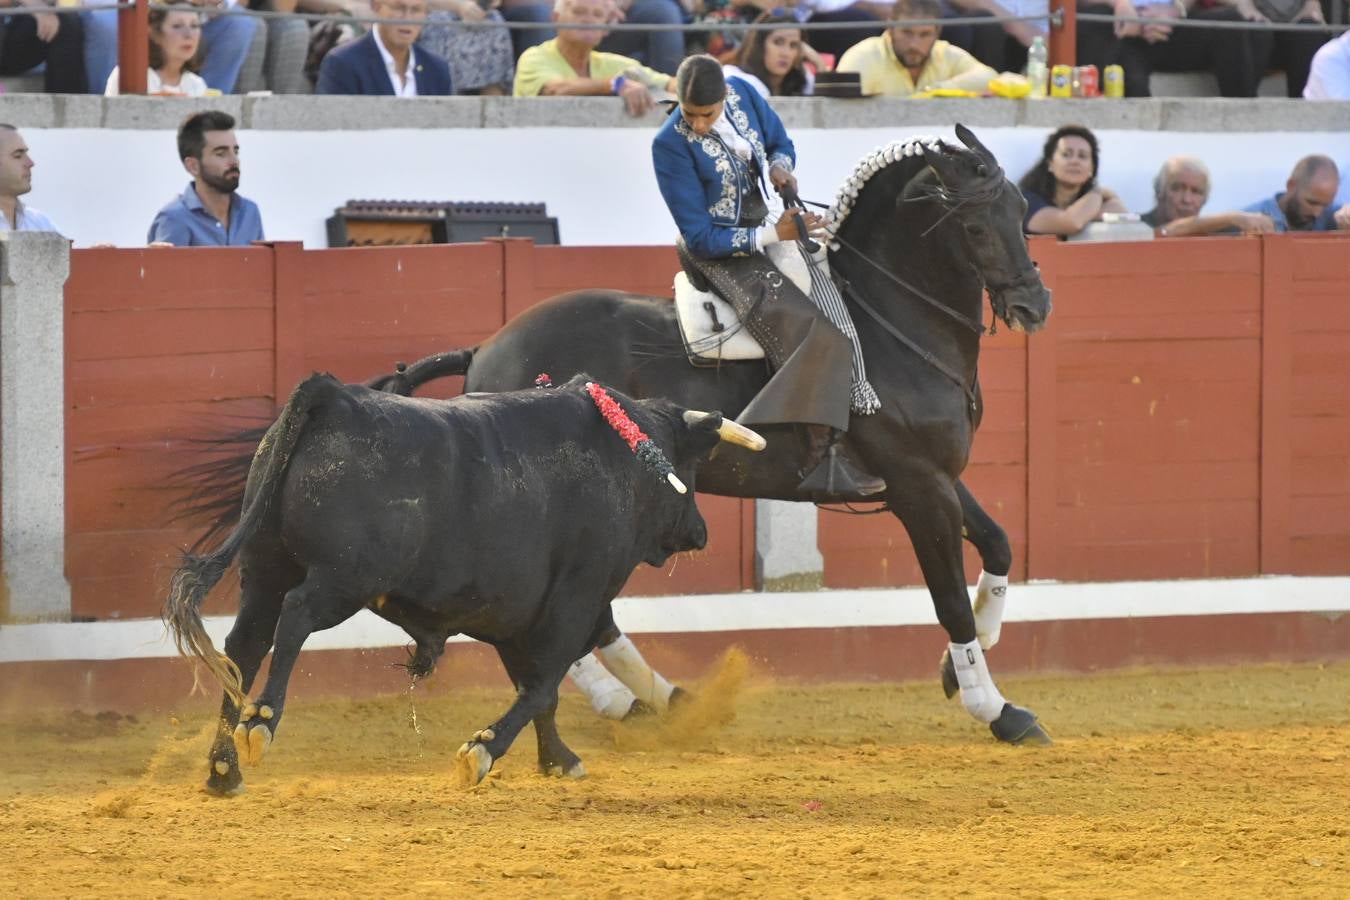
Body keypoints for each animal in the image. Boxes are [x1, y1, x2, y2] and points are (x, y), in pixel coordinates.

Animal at [163, 369, 761, 793]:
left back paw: (223, 770)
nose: (701, 532)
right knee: (296, 618)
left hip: (264, 570)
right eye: (690, 467)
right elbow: (544, 683)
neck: (625, 456)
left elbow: (538, 690)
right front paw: (484, 752)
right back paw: (260, 723)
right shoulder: (576, 601)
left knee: (244, 646)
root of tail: (333, 396)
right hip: (343, 579)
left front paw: (558, 760)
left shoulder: (515, 616)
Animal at [369, 128, 1053, 744]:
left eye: (1021, 212)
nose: (1035, 305)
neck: (885, 322)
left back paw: (655, 698)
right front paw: (996, 708)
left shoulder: (936, 475)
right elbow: (948, 598)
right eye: (975, 227)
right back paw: (630, 699)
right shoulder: (916, 486)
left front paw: (962, 665)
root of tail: (487, 349)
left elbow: (998, 545)